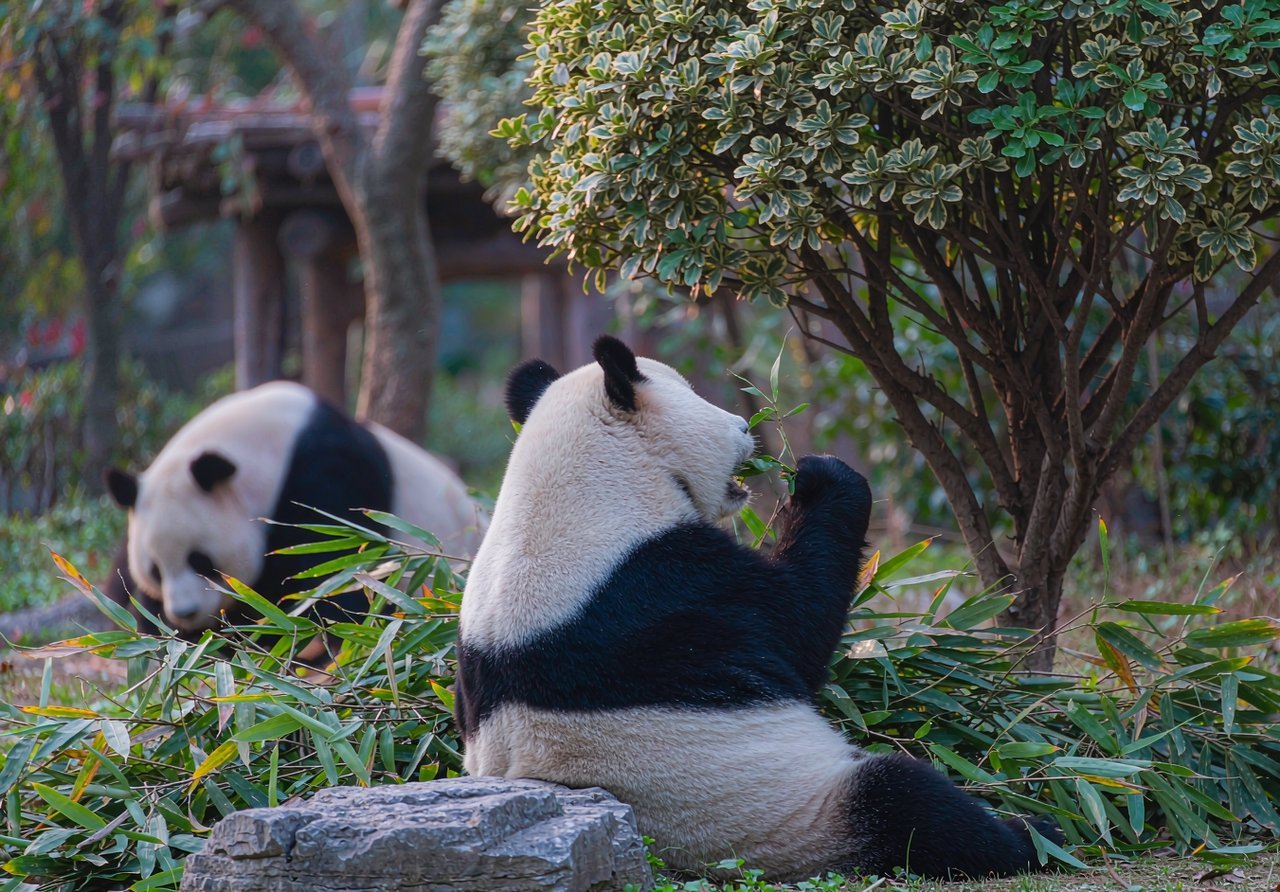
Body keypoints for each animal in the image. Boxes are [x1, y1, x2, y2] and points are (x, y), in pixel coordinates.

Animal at [456, 336, 1063, 882]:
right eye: (696, 395)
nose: (747, 426)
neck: (581, 487)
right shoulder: (664, 581)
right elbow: (798, 624)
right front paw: (823, 475)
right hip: (788, 817)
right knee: (910, 807)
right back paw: (1034, 834)